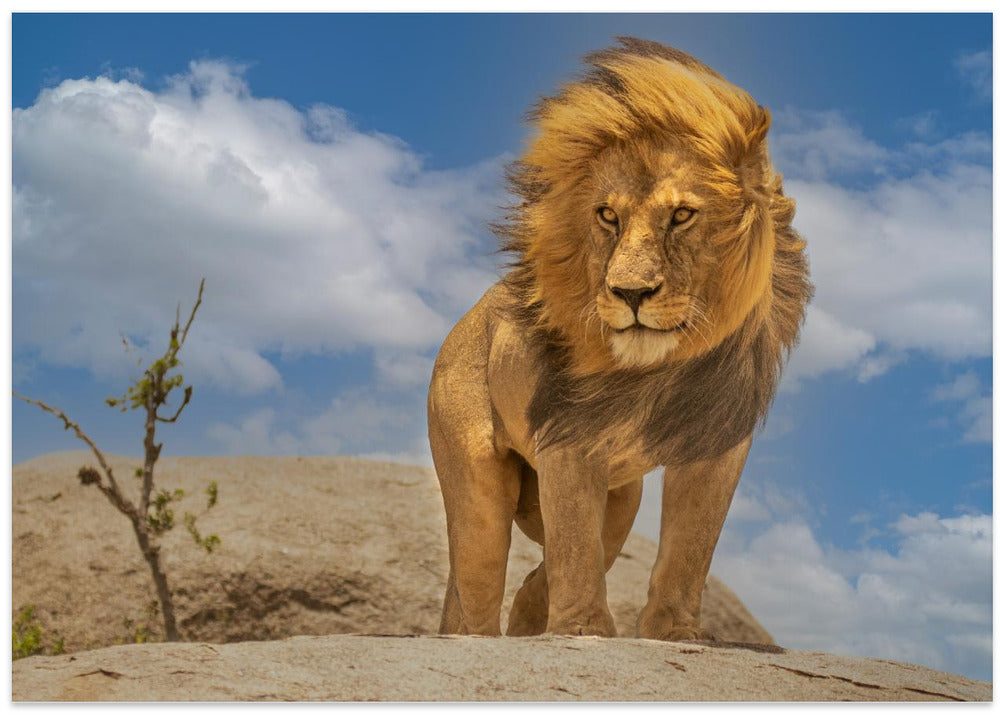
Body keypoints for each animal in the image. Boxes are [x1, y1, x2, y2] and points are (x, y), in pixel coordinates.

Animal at [428, 37, 811, 639]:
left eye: (682, 215)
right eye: (607, 215)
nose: (630, 293)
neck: (661, 370)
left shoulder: (718, 442)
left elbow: (689, 545)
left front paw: (674, 633)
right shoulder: (569, 437)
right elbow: (575, 541)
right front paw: (582, 630)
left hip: (623, 494)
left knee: (562, 561)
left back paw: (530, 615)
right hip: (476, 480)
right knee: (478, 576)